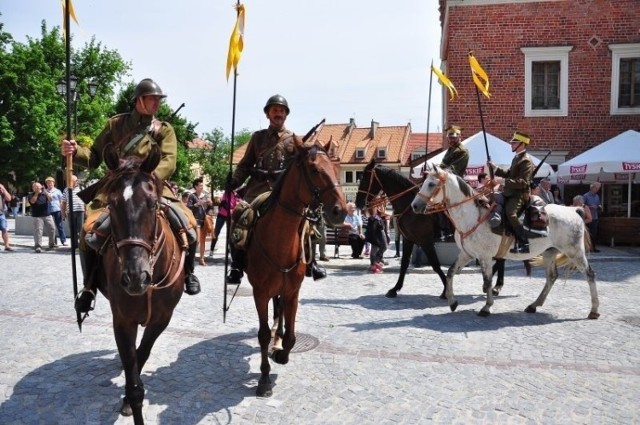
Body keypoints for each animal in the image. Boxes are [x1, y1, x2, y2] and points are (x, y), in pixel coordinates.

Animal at [96, 144, 185, 422]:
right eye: (111, 205)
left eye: (153, 204)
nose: (136, 277)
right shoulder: (123, 320)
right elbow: (132, 367)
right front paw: (129, 399)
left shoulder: (161, 319)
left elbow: (141, 354)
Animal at [244, 137, 344, 396]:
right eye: (314, 170)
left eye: (337, 168)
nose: (341, 211)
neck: (279, 239)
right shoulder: (259, 293)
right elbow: (263, 334)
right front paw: (264, 378)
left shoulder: (293, 292)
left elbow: (291, 336)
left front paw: (282, 355)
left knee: (279, 313)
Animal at [410, 166, 600, 318]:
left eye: (431, 184)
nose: (414, 206)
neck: (472, 216)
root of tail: (574, 210)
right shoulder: (467, 254)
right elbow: (450, 273)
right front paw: (452, 301)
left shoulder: (485, 257)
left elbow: (487, 281)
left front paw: (486, 307)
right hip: (550, 252)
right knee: (552, 277)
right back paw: (534, 305)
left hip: (575, 252)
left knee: (590, 274)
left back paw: (594, 310)